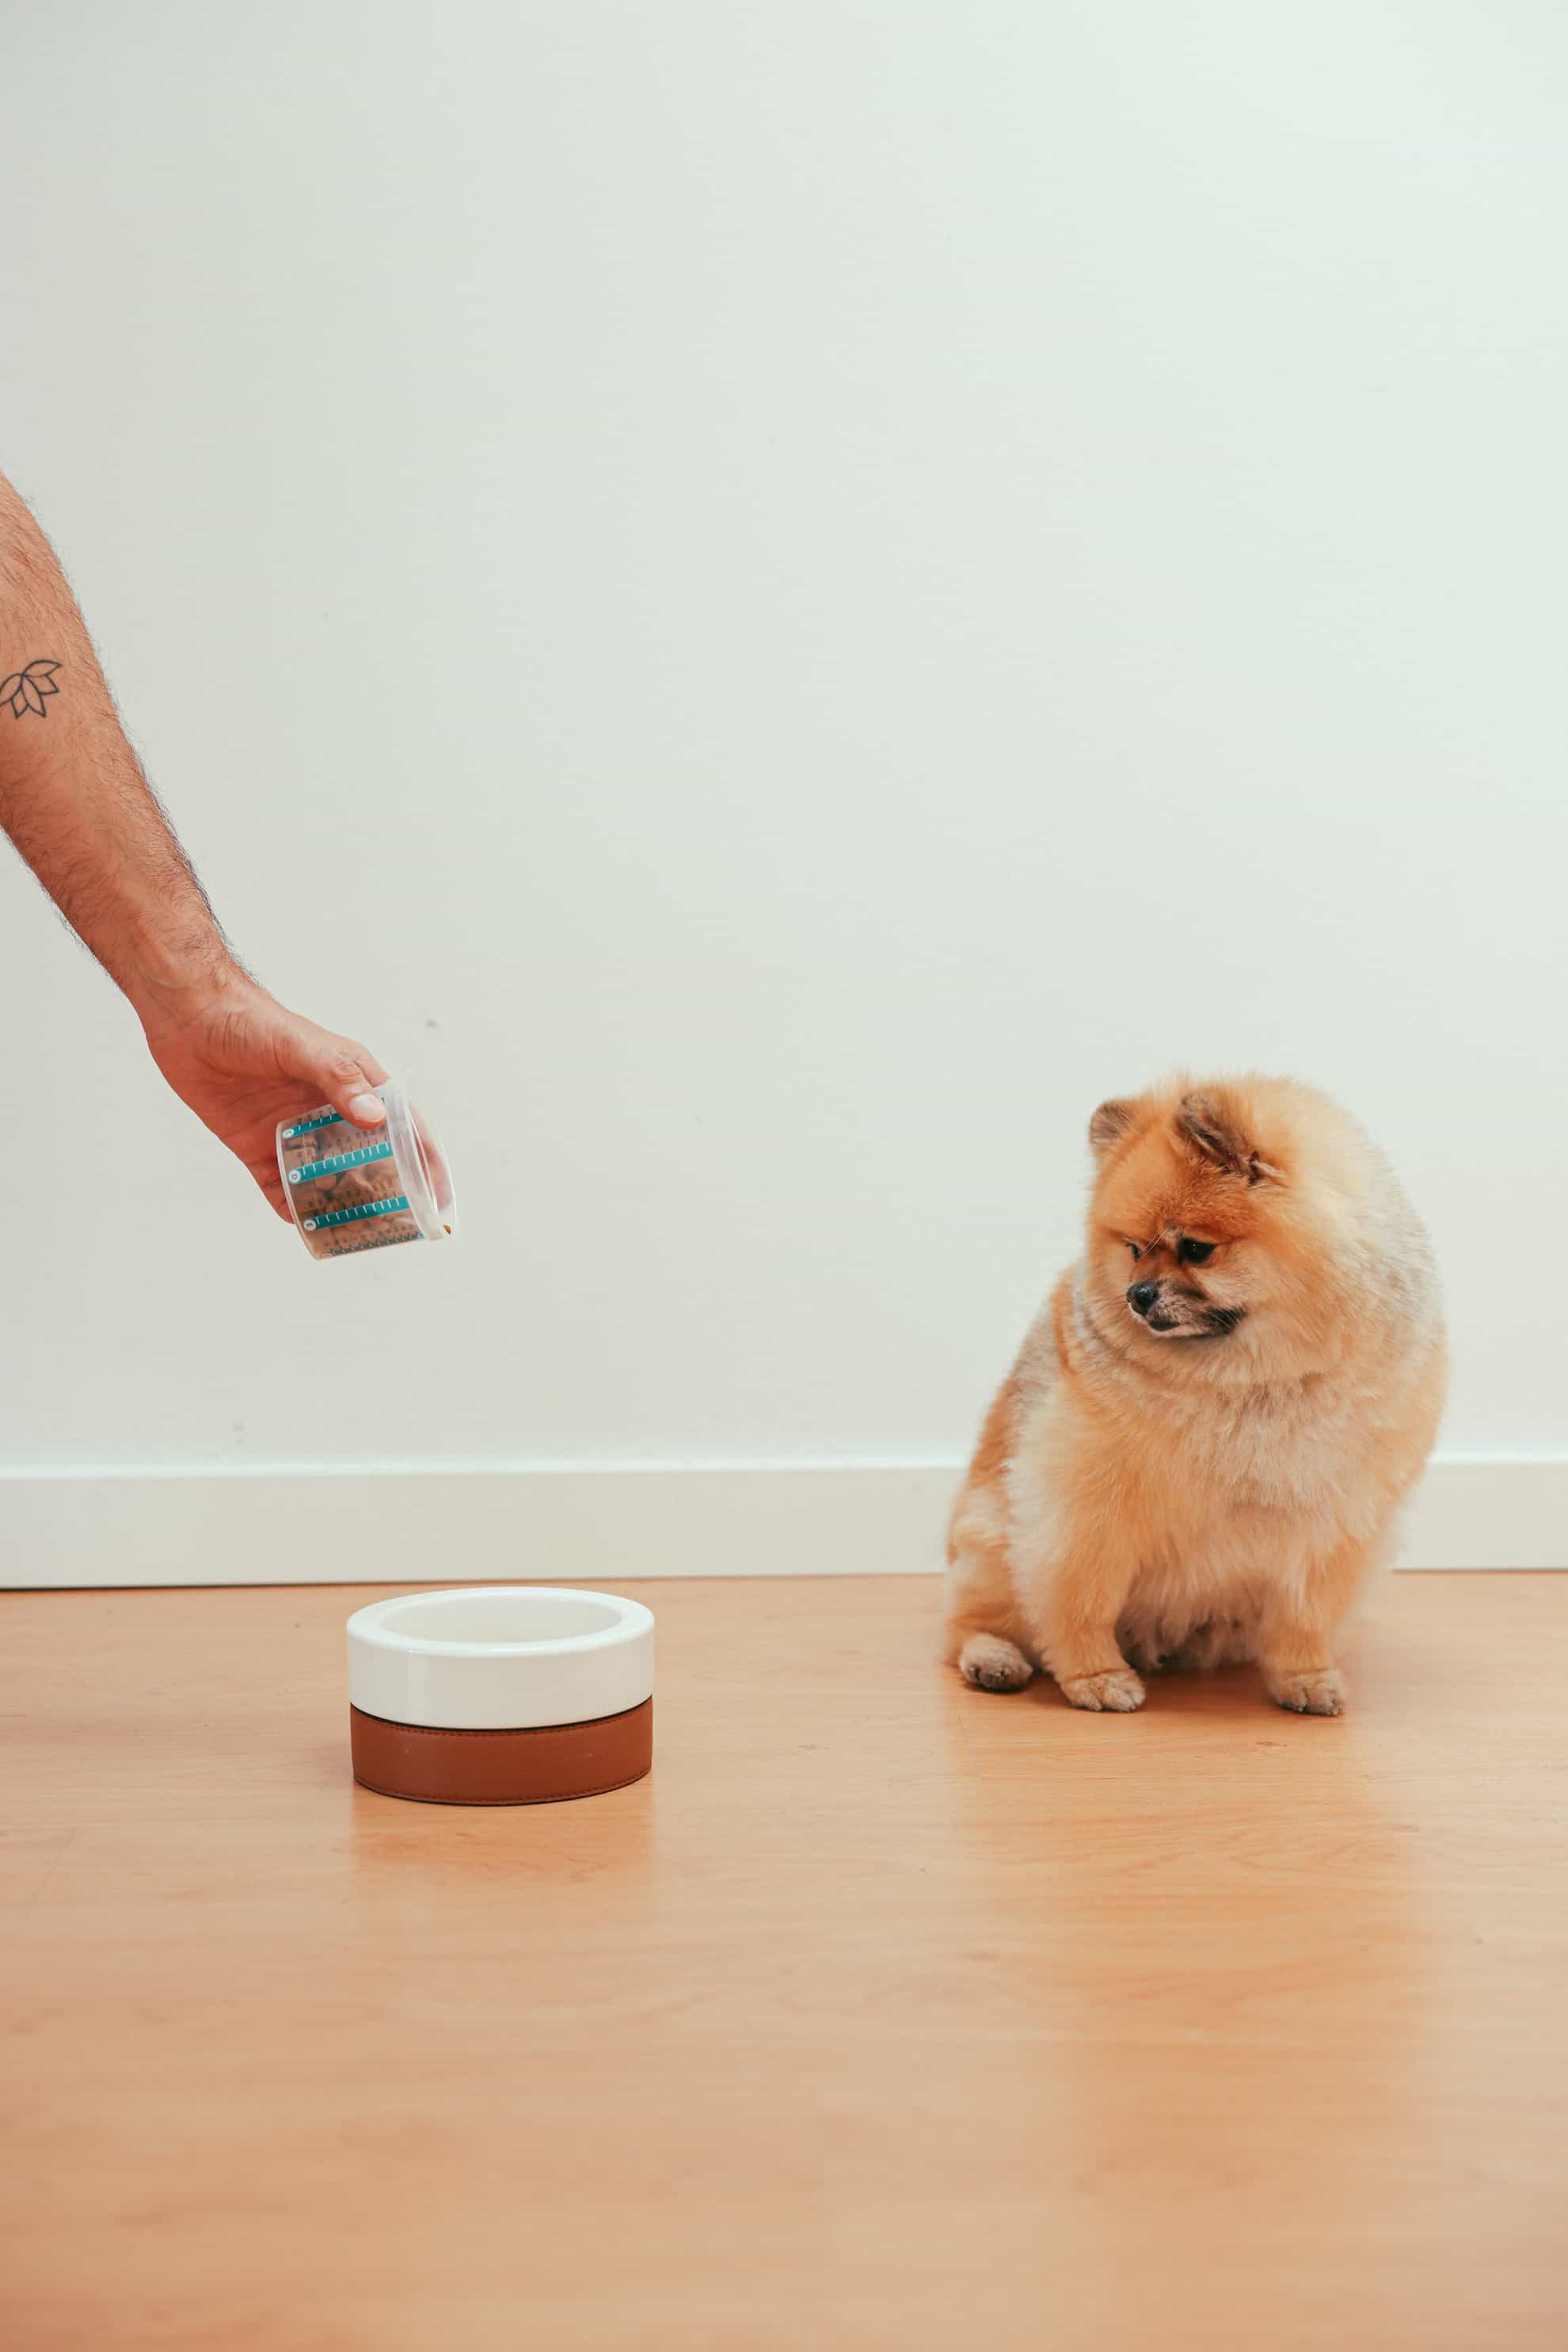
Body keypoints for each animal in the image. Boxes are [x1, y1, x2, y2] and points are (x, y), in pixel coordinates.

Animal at [945, 1077, 1448, 1722]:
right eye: (1134, 1248)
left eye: (1195, 1248)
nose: (1136, 1295)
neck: (1251, 1379)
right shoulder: (1082, 1510)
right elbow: (1079, 1601)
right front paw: (1095, 1678)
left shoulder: (1331, 1524)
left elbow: (1303, 1616)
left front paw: (1304, 1676)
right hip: (990, 1541)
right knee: (969, 1620)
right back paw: (994, 1658)